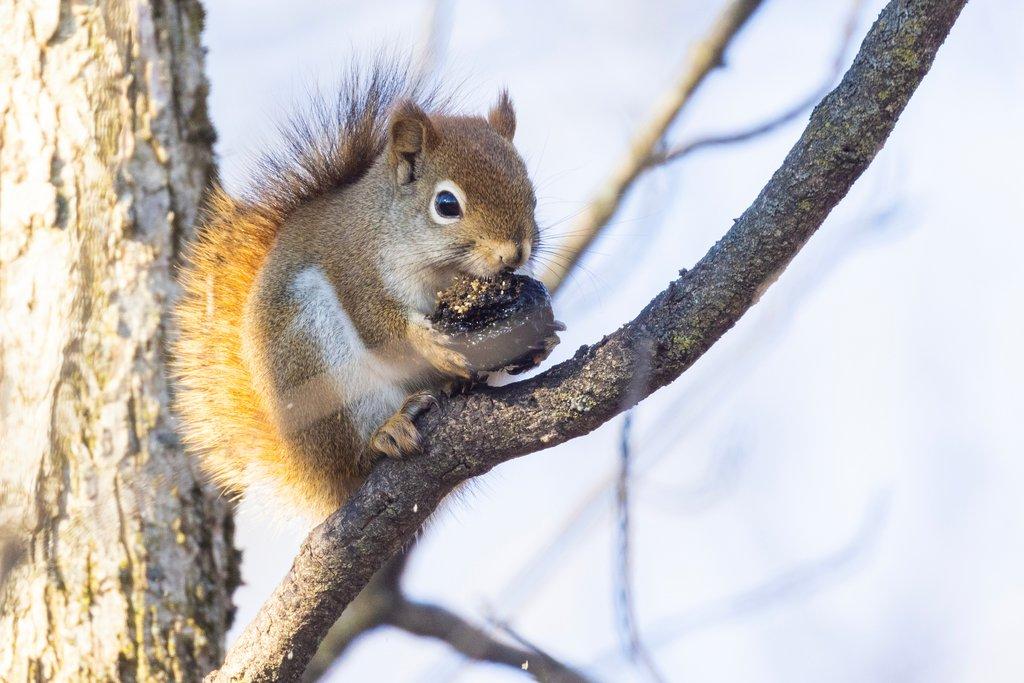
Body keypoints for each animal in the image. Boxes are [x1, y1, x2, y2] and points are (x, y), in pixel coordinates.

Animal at [174, 68, 544, 518]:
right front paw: (431, 344)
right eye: (446, 204)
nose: (514, 253)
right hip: (315, 359)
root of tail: (313, 477)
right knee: (357, 453)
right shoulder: (354, 271)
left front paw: (541, 341)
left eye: (531, 192)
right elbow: (381, 330)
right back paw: (386, 433)